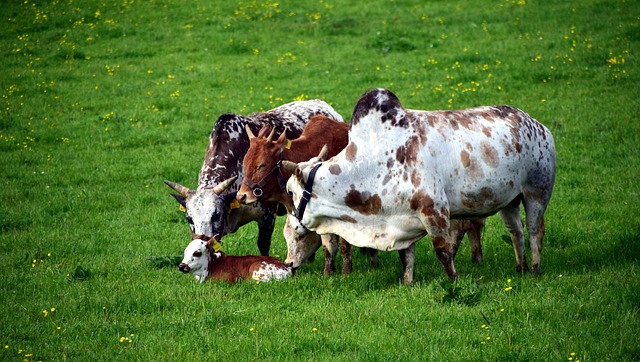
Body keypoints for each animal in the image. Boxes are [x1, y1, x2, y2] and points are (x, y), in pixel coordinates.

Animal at [284, 87, 556, 282]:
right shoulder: (404, 220)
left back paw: (534, 269)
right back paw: (520, 268)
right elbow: (406, 257)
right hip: (509, 202)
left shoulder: (434, 212)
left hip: (536, 193)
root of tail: (539, 125)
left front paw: (453, 280)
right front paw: (407, 283)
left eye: (291, 191)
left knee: (535, 230)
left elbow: (443, 252)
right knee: (516, 231)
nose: (293, 226)